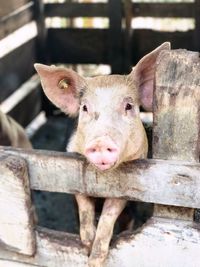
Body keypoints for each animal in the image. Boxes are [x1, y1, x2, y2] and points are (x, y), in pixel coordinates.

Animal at [34, 42, 170, 267]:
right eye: (85, 108)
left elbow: (109, 213)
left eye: (129, 106)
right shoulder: (71, 170)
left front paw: (95, 260)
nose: (101, 142)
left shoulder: (126, 188)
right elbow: (83, 203)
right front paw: (87, 242)